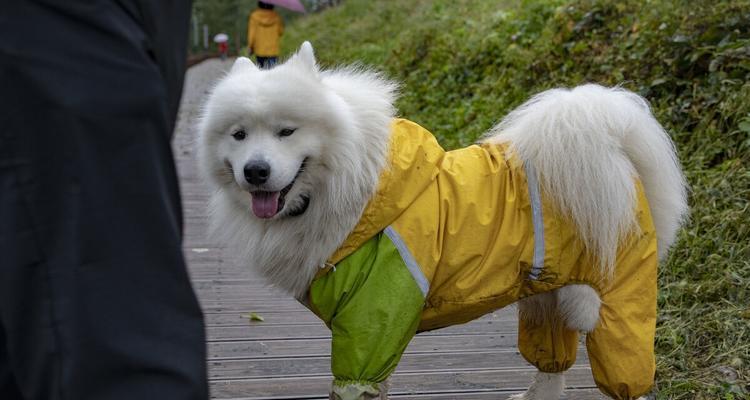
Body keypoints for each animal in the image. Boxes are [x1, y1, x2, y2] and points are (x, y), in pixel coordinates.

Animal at [197, 42, 692, 398]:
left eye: (287, 131)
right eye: (239, 135)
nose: (255, 171)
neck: (348, 187)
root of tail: (614, 148)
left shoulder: (372, 320)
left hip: (618, 302)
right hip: (548, 299)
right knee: (551, 366)